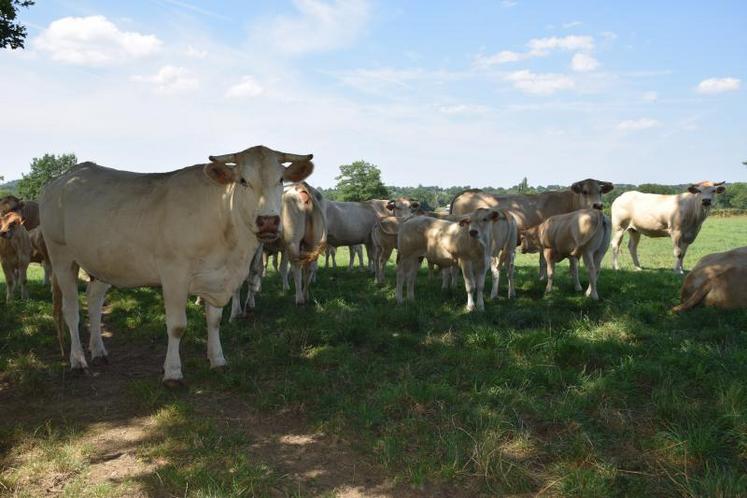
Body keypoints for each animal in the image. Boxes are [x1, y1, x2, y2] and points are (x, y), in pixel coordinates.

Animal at [39, 144, 314, 386]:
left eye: (280, 179)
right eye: (243, 180)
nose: (268, 221)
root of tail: (63, 179)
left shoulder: (216, 277)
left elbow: (214, 320)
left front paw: (218, 360)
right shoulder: (174, 274)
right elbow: (177, 326)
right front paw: (172, 373)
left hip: (103, 262)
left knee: (94, 300)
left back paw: (98, 351)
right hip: (61, 254)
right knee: (71, 310)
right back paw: (78, 361)